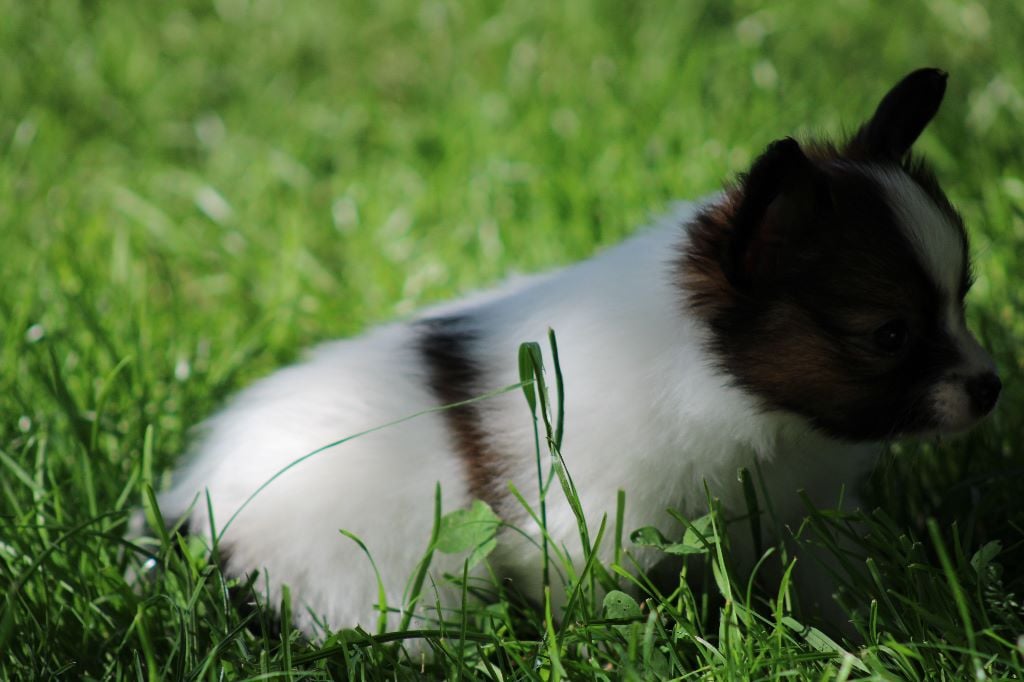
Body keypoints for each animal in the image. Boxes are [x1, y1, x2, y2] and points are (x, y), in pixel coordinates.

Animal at [157, 69, 999, 638]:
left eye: (963, 297)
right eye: (889, 335)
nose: (991, 387)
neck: (723, 382)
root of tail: (194, 507)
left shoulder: (805, 515)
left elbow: (836, 584)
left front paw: (877, 628)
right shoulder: (582, 536)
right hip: (374, 581)